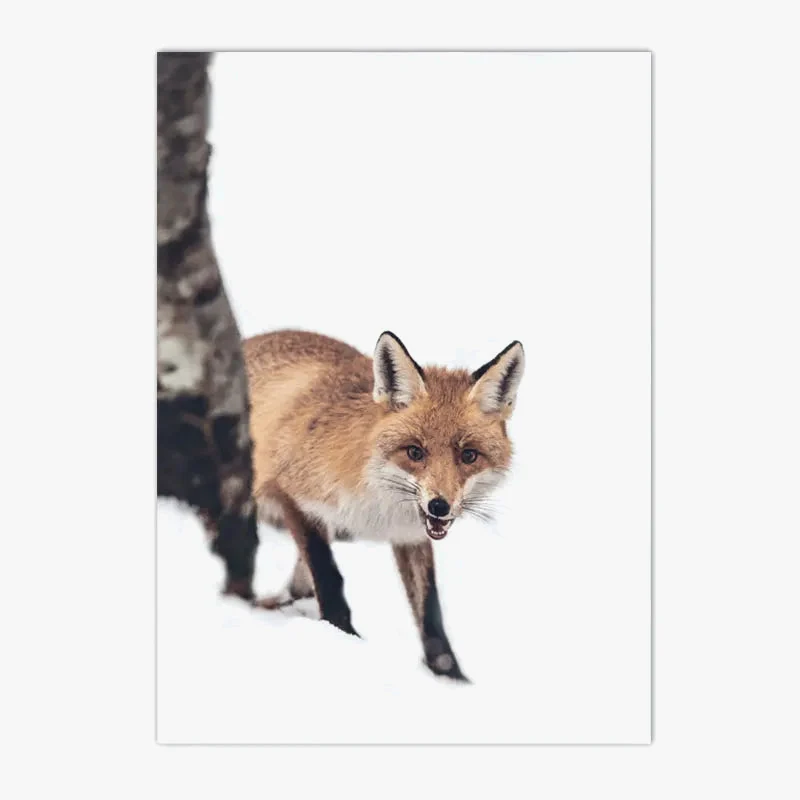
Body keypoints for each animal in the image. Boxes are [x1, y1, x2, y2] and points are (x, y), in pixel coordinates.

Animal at [242, 329, 525, 681]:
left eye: (469, 455)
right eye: (415, 452)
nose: (440, 506)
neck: (378, 507)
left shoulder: (410, 535)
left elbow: (430, 611)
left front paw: (450, 675)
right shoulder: (292, 497)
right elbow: (329, 576)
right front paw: (345, 637)